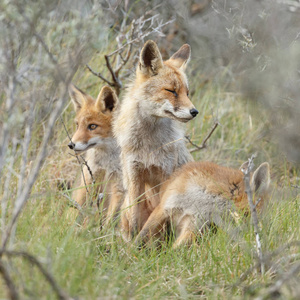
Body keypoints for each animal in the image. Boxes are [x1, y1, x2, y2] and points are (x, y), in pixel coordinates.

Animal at [67, 84, 123, 225]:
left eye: (92, 126)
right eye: (77, 125)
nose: (71, 145)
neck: (106, 164)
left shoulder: (118, 187)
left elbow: (109, 219)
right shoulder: (88, 180)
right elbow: (78, 211)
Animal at [113, 39, 198, 238]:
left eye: (187, 93)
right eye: (171, 91)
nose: (194, 111)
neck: (148, 145)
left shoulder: (166, 175)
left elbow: (161, 221)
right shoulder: (134, 175)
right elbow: (135, 220)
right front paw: (132, 244)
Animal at [135, 161, 270, 247]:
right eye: (256, 213)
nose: (263, 233)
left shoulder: (195, 222)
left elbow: (177, 248)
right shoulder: (165, 207)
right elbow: (142, 236)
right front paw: (132, 253)